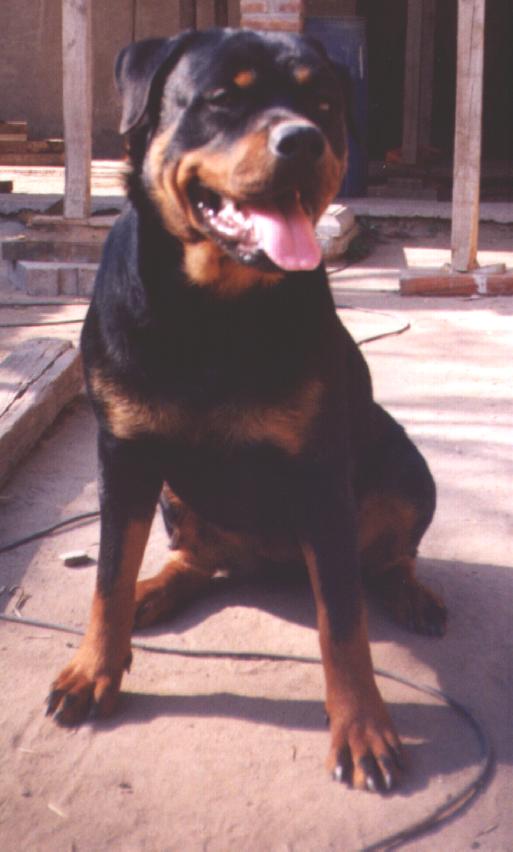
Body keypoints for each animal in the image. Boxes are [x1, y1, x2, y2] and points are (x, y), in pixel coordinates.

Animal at [47, 28, 447, 793]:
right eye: (222, 99)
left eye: (323, 106)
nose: (303, 140)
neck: (214, 308)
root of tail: (273, 562)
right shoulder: (123, 452)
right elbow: (107, 574)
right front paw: (93, 669)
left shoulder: (319, 468)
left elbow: (342, 619)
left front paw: (362, 726)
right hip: (173, 493)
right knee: (192, 556)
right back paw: (154, 588)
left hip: (406, 465)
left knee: (386, 555)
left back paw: (410, 592)